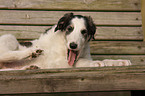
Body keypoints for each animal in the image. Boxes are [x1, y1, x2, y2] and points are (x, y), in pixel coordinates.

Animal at [0, 12, 130, 70]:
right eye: (69, 29)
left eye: (84, 32)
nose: (73, 45)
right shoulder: (54, 63)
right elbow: (79, 62)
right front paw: (95, 63)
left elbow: (105, 60)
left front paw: (120, 62)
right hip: (10, 38)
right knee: (5, 55)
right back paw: (31, 52)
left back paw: (30, 67)